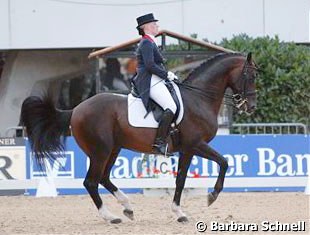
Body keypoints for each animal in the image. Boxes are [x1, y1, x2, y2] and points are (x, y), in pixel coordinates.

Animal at [19, 52, 258, 223]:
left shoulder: (187, 149)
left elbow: (181, 179)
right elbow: (224, 162)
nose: (252, 107)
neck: (198, 98)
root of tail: (76, 109)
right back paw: (111, 216)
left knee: (103, 178)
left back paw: (127, 207)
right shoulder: (196, 144)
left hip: (112, 149)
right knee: (91, 182)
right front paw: (212, 196)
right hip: (100, 151)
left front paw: (179, 213)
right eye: (251, 76)